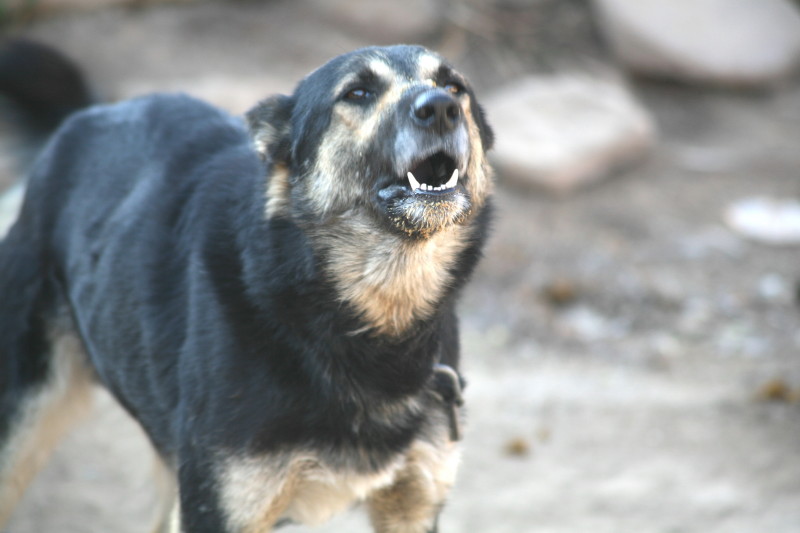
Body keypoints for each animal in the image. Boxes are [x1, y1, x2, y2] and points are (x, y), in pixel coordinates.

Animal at [0, 43, 494, 528]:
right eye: (357, 93)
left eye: (454, 86)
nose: (441, 109)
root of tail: (90, 113)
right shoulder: (218, 507)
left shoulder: (412, 503)